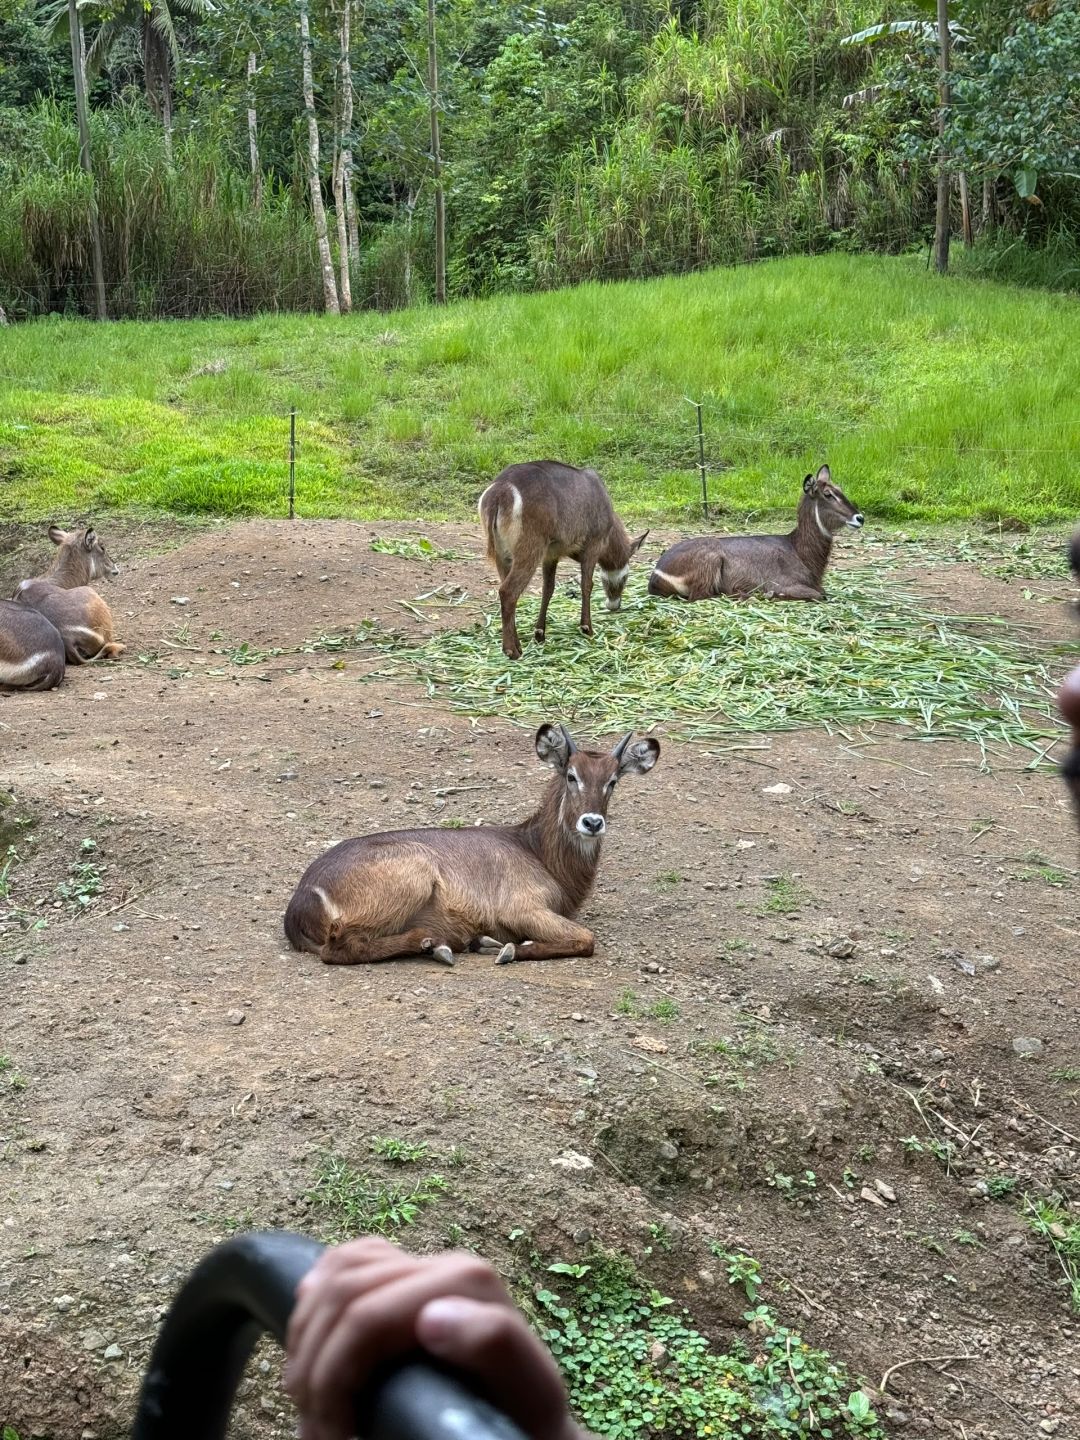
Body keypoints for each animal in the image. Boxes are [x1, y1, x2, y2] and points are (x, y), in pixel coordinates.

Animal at [283, 725, 659, 973]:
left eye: (613, 781)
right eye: (571, 775)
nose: (592, 822)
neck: (537, 851)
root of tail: (301, 902)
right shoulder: (521, 908)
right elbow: (586, 938)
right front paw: (508, 949)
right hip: (415, 874)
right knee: (336, 948)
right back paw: (435, 943)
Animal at [478, 460, 648, 659]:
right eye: (626, 577)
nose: (614, 605)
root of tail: (501, 491)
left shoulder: (551, 555)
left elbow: (548, 589)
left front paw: (540, 633)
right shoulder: (593, 545)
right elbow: (587, 585)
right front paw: (587, 628)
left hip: (503, 555)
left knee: (509, 591)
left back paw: (518, 645)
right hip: (529, 550)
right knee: (508, 591)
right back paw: (511, 650)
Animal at [648, 466, 869, 601]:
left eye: (840, 489)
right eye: (828, 494)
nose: (860, 518)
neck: (798, 550)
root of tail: (657, 573)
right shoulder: (785, 584)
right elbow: (818, 595)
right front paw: (772, 594)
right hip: (711, 560)